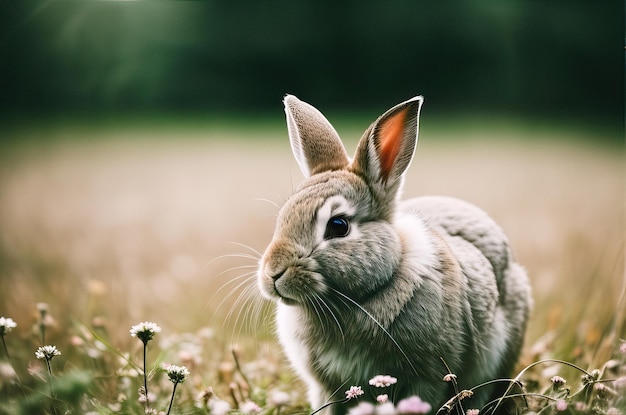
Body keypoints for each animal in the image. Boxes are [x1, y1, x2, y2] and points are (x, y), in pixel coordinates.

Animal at [256, 95, 528, 415]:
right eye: (282, 218)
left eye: (338, 225)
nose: (273, 273)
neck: (355, 300)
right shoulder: (325, 386)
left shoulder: (428, 376)